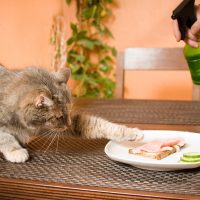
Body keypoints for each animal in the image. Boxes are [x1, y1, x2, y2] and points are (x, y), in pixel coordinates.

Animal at [0, 65, 143, 162]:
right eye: (58, 117)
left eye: (69, 111)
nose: (68, 124)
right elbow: (5, 138)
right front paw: (16, 152)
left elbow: (100, 125)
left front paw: (132, 133)